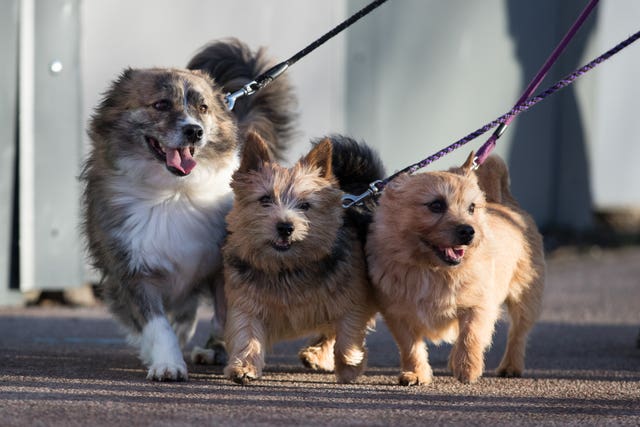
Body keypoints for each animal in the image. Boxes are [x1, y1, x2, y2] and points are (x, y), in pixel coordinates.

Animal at [80, 39, 298, 382]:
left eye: (203, 108)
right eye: (160, 105)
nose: (194, 131)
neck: (174, 193)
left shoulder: (224, 265)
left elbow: (226, 316)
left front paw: (230, 354)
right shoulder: (132, 271)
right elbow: (158, 326)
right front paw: (167, 364)